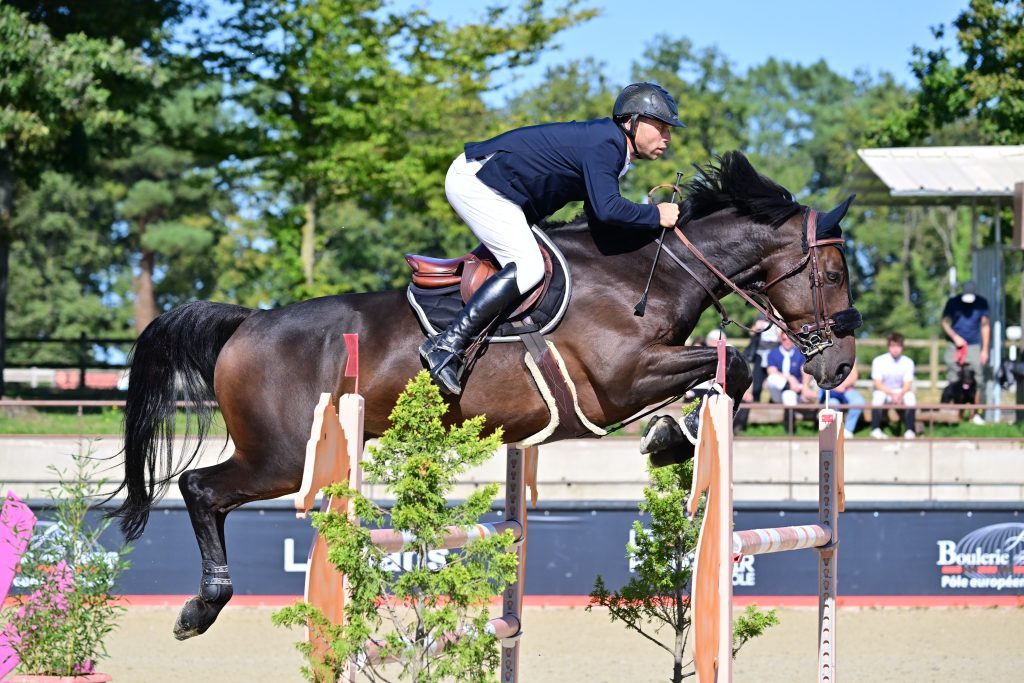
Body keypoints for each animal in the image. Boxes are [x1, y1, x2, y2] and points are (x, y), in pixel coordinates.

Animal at [108, 151, 860, 639]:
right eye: (831, 273)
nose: (844, 363)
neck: (649, 272)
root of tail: (247, 322)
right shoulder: (620, 380)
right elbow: (737, 368)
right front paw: (673, 437)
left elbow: (726, 375)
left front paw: (672, 438)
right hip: (282, 456)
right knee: (201, 488)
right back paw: (201, 607)